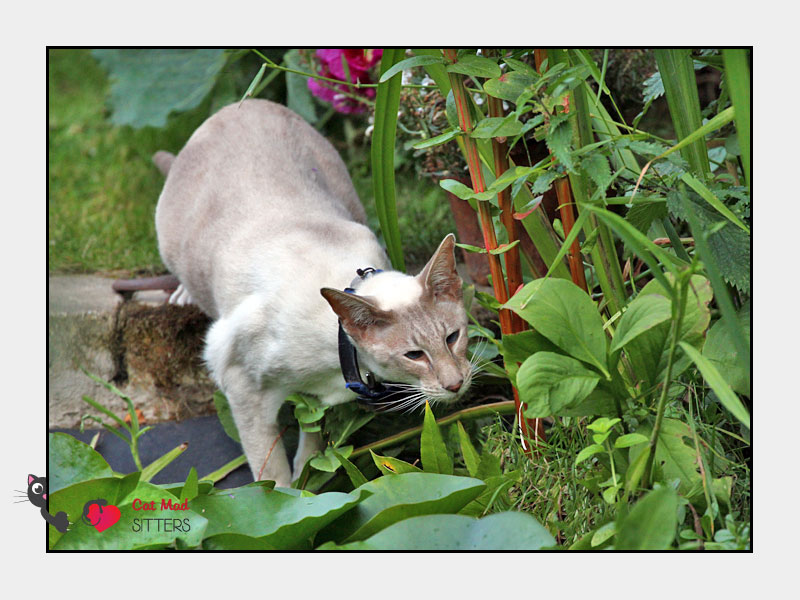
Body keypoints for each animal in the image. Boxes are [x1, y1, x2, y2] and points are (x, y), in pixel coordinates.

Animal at [153, 99, 472, 488]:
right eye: (414, 355)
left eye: (453, 337)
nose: (457, 385)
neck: (338, 364)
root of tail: (245, 103)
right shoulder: (240, 383)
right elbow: (271, 478)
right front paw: (292, 497)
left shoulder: (315, 402)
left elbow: (312, 446)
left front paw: (309, 479)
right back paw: (182, 294)